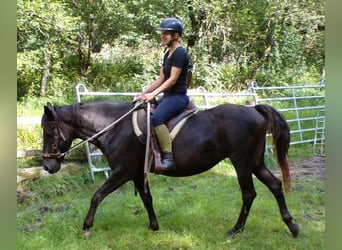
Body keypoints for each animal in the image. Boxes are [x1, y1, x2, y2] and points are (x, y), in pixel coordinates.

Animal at [41, 100, 300, 237]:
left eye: (49, 130)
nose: (47, 165)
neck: (115, 126)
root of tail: (253, 108)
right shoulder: (137, 174)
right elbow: (147, 200)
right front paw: (154, 226)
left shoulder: (122, 172)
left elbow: (97, 196)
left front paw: (86, 226)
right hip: (254, 163)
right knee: (275, 185)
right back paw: (292, 225)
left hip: (242, 164)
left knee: (249, 194)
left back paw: (236, 229)